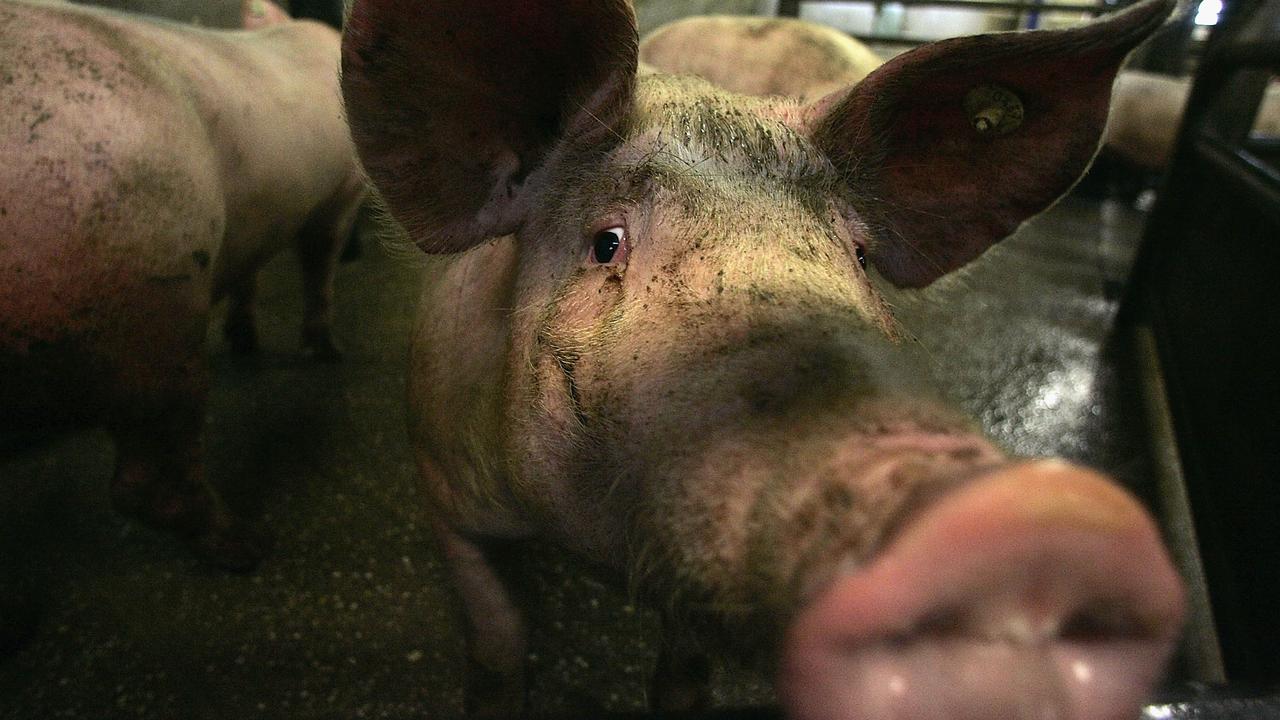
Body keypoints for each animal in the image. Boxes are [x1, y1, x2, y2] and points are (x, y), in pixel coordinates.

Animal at [1, 2, 366, 568]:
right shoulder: (343, 195)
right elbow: (320, 268)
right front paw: (330, 352)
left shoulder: (254, 226)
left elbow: (248, 276)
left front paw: (245, 340)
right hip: (153, 300)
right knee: (146, 482)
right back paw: (247, 545)